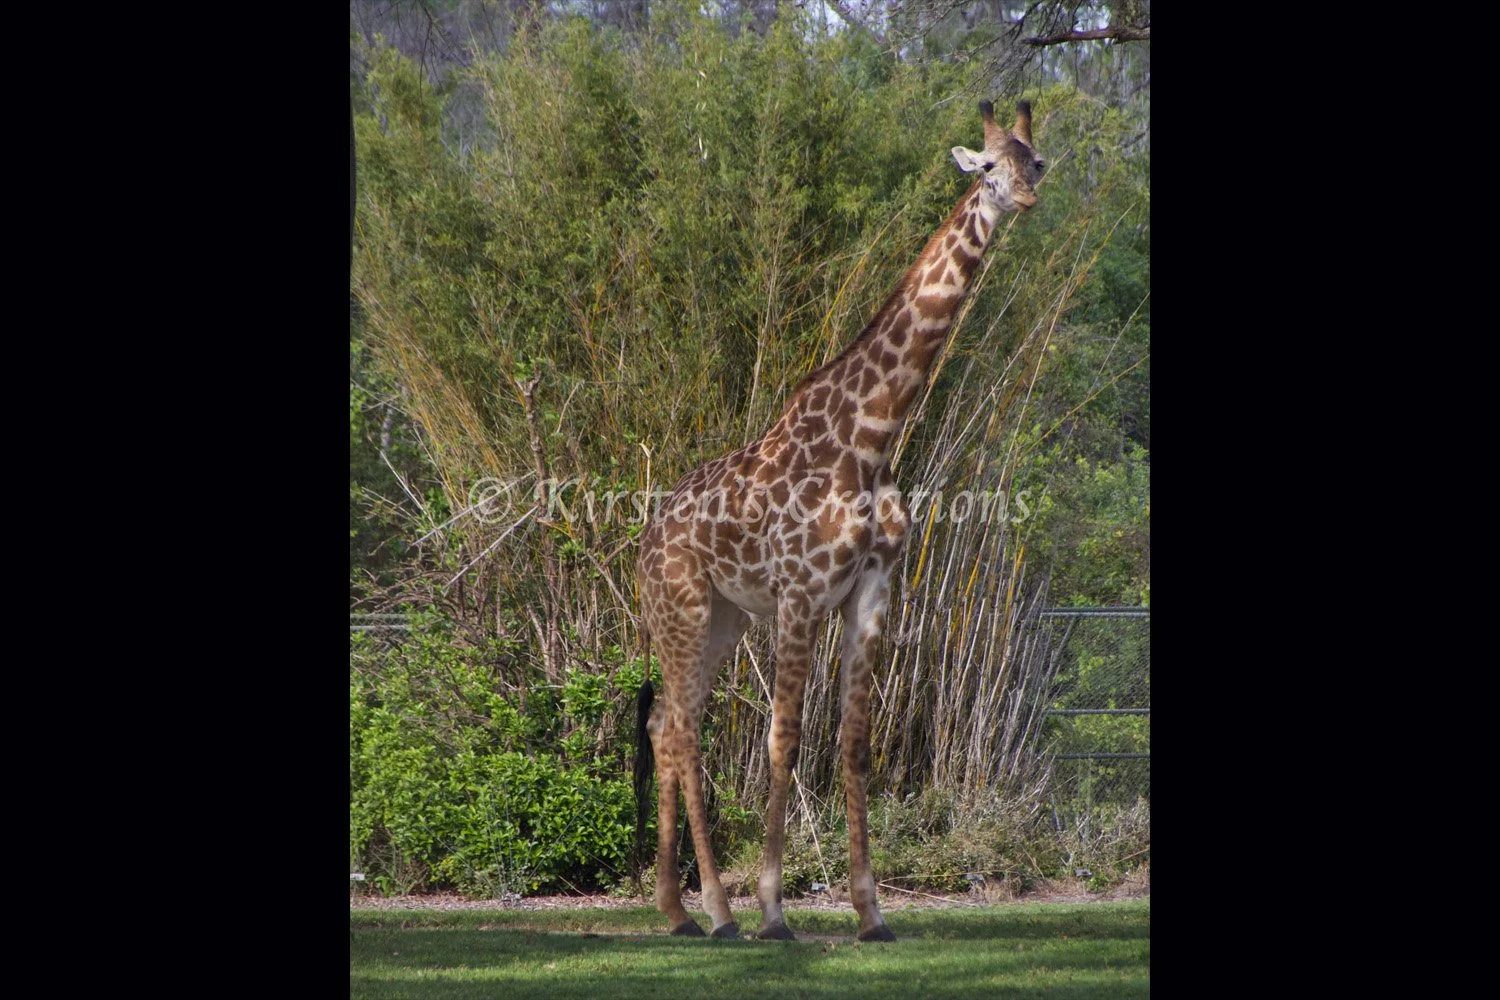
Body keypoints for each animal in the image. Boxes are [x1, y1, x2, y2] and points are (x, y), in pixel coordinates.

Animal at [634, 99, 1045, 942]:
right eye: (989, 166)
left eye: (1038, 160)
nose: (1023, 196)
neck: (873, 437)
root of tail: (640, 546)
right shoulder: (799, 593)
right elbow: (784, 740)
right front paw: (774, 910)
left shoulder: (872, 592)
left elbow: (853, 744)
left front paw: (870, 911)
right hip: (681, 609)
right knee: (683, 729)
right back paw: (718, 911)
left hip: (722, 619)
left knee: (664, 726)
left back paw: (678, 910)